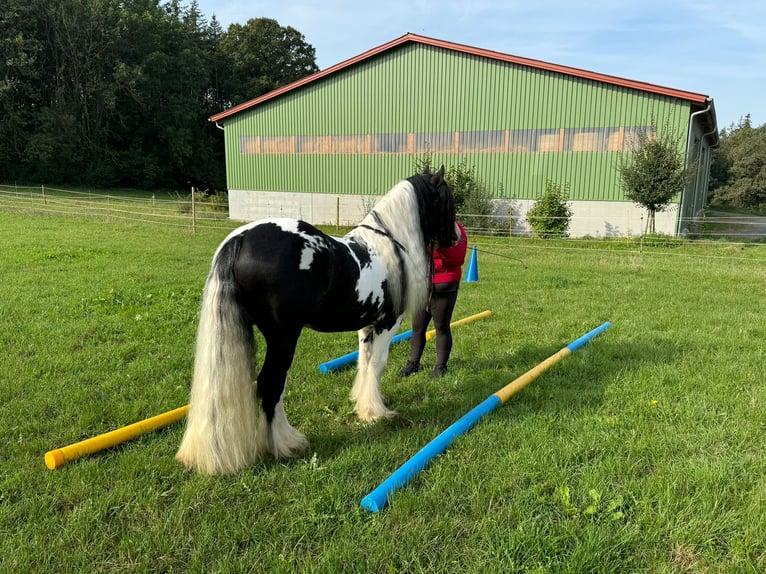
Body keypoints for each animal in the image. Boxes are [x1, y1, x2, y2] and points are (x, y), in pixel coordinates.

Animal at [176, 166, 456, 476]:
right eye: (447, 200)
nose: (456, 238)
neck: (388, 245)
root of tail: (240, 239)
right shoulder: (386, 325)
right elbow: (378, 365)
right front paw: (376, 413)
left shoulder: (366, 327)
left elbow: (364, 361)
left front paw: (361, 403)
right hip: (284, 338)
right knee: (271, 383)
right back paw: (285, 443)